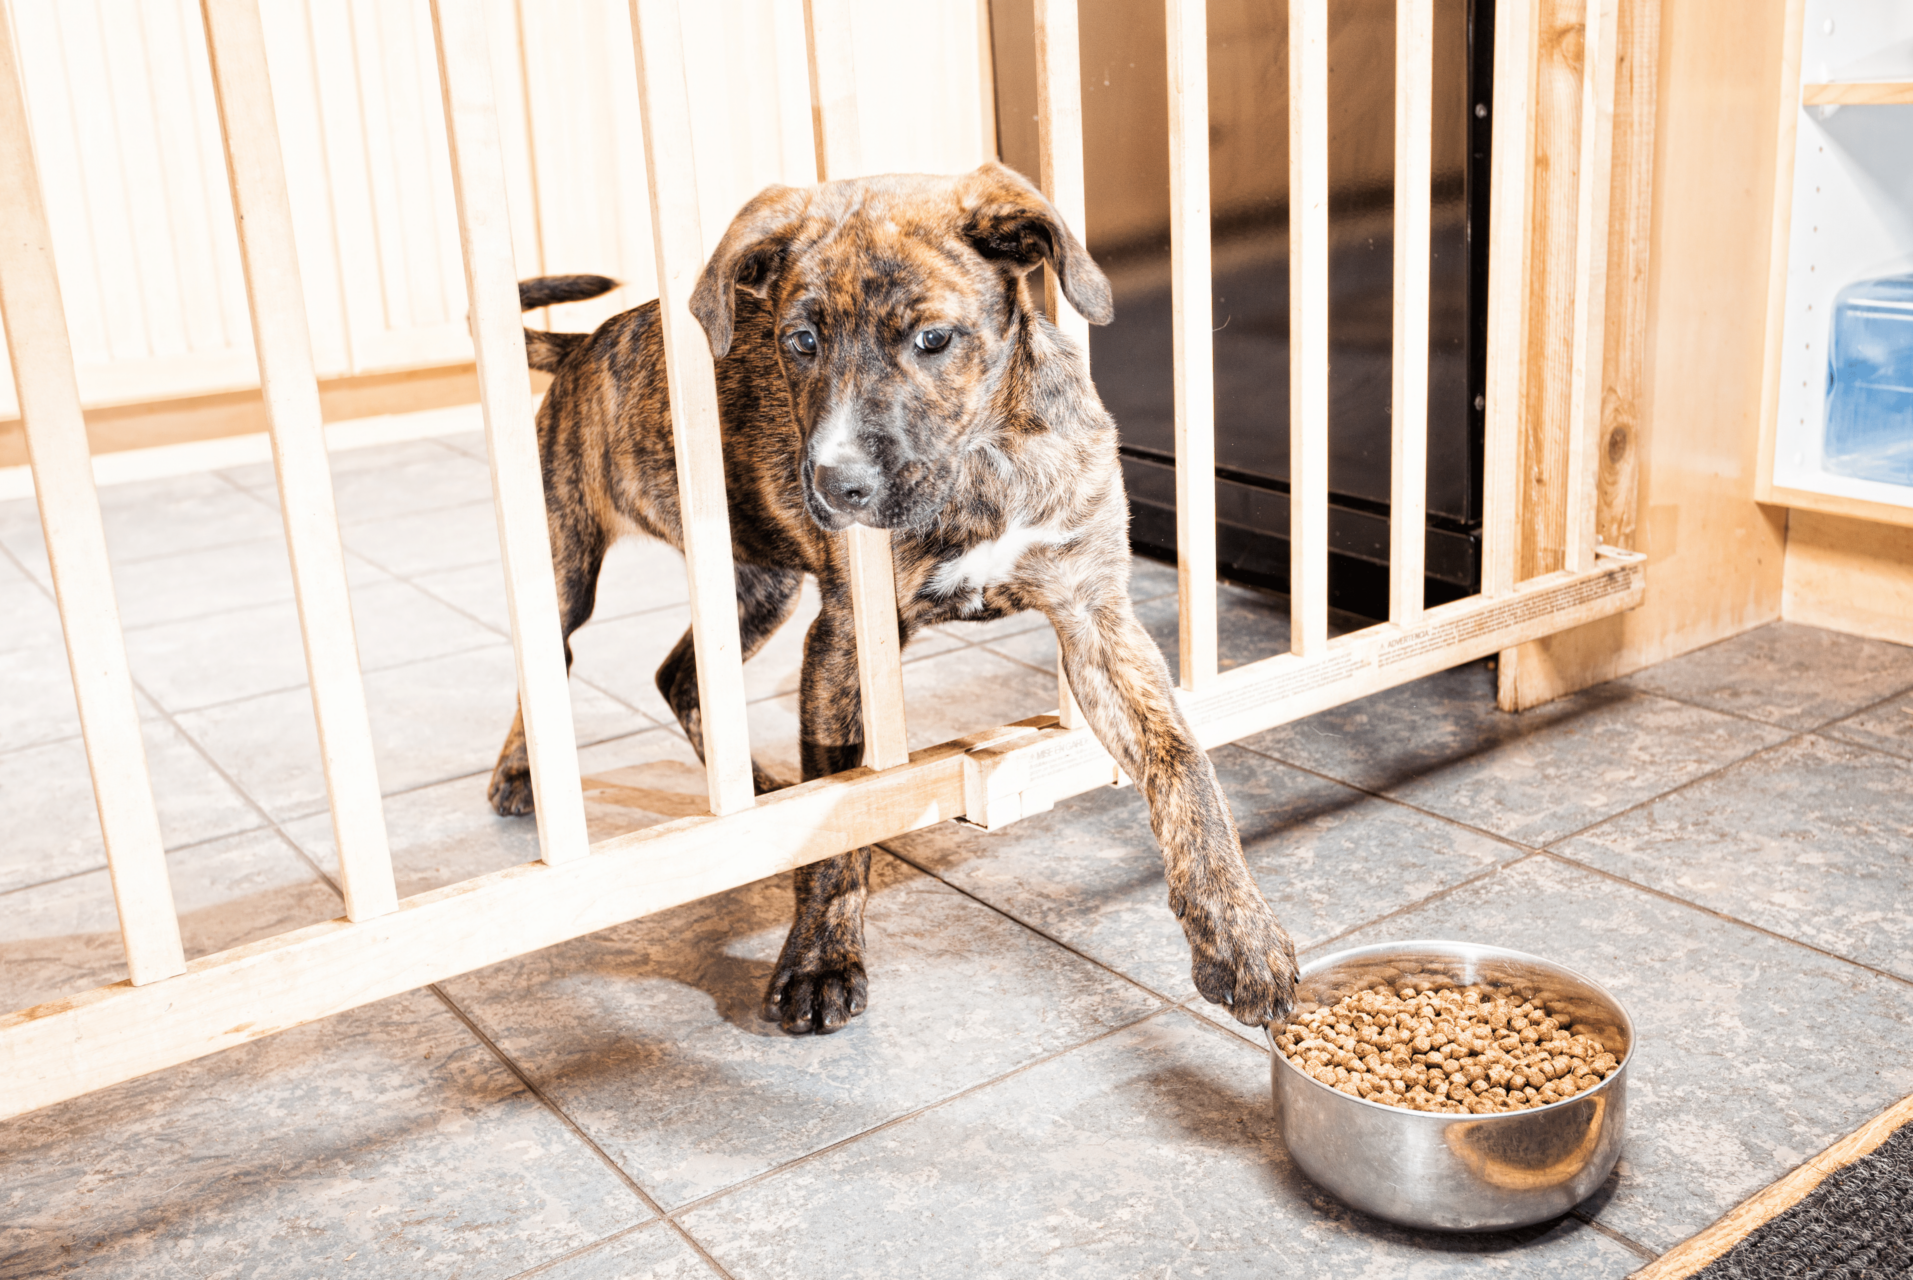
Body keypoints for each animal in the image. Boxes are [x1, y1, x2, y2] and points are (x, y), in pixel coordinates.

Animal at [493, 162, 1300, 1040]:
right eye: (798, 341)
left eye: (933, 340)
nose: (835, 486)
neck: (981, 459)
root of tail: (585, 344)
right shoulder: (846, 642)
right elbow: (845, 816)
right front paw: (821, 961)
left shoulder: (1097, 618)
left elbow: (1182, 762)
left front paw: (1239, 933)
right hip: (563, 558)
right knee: (551, 665)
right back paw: (520, 774)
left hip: (759, 583)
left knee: (677, 675)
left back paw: (757, 788)